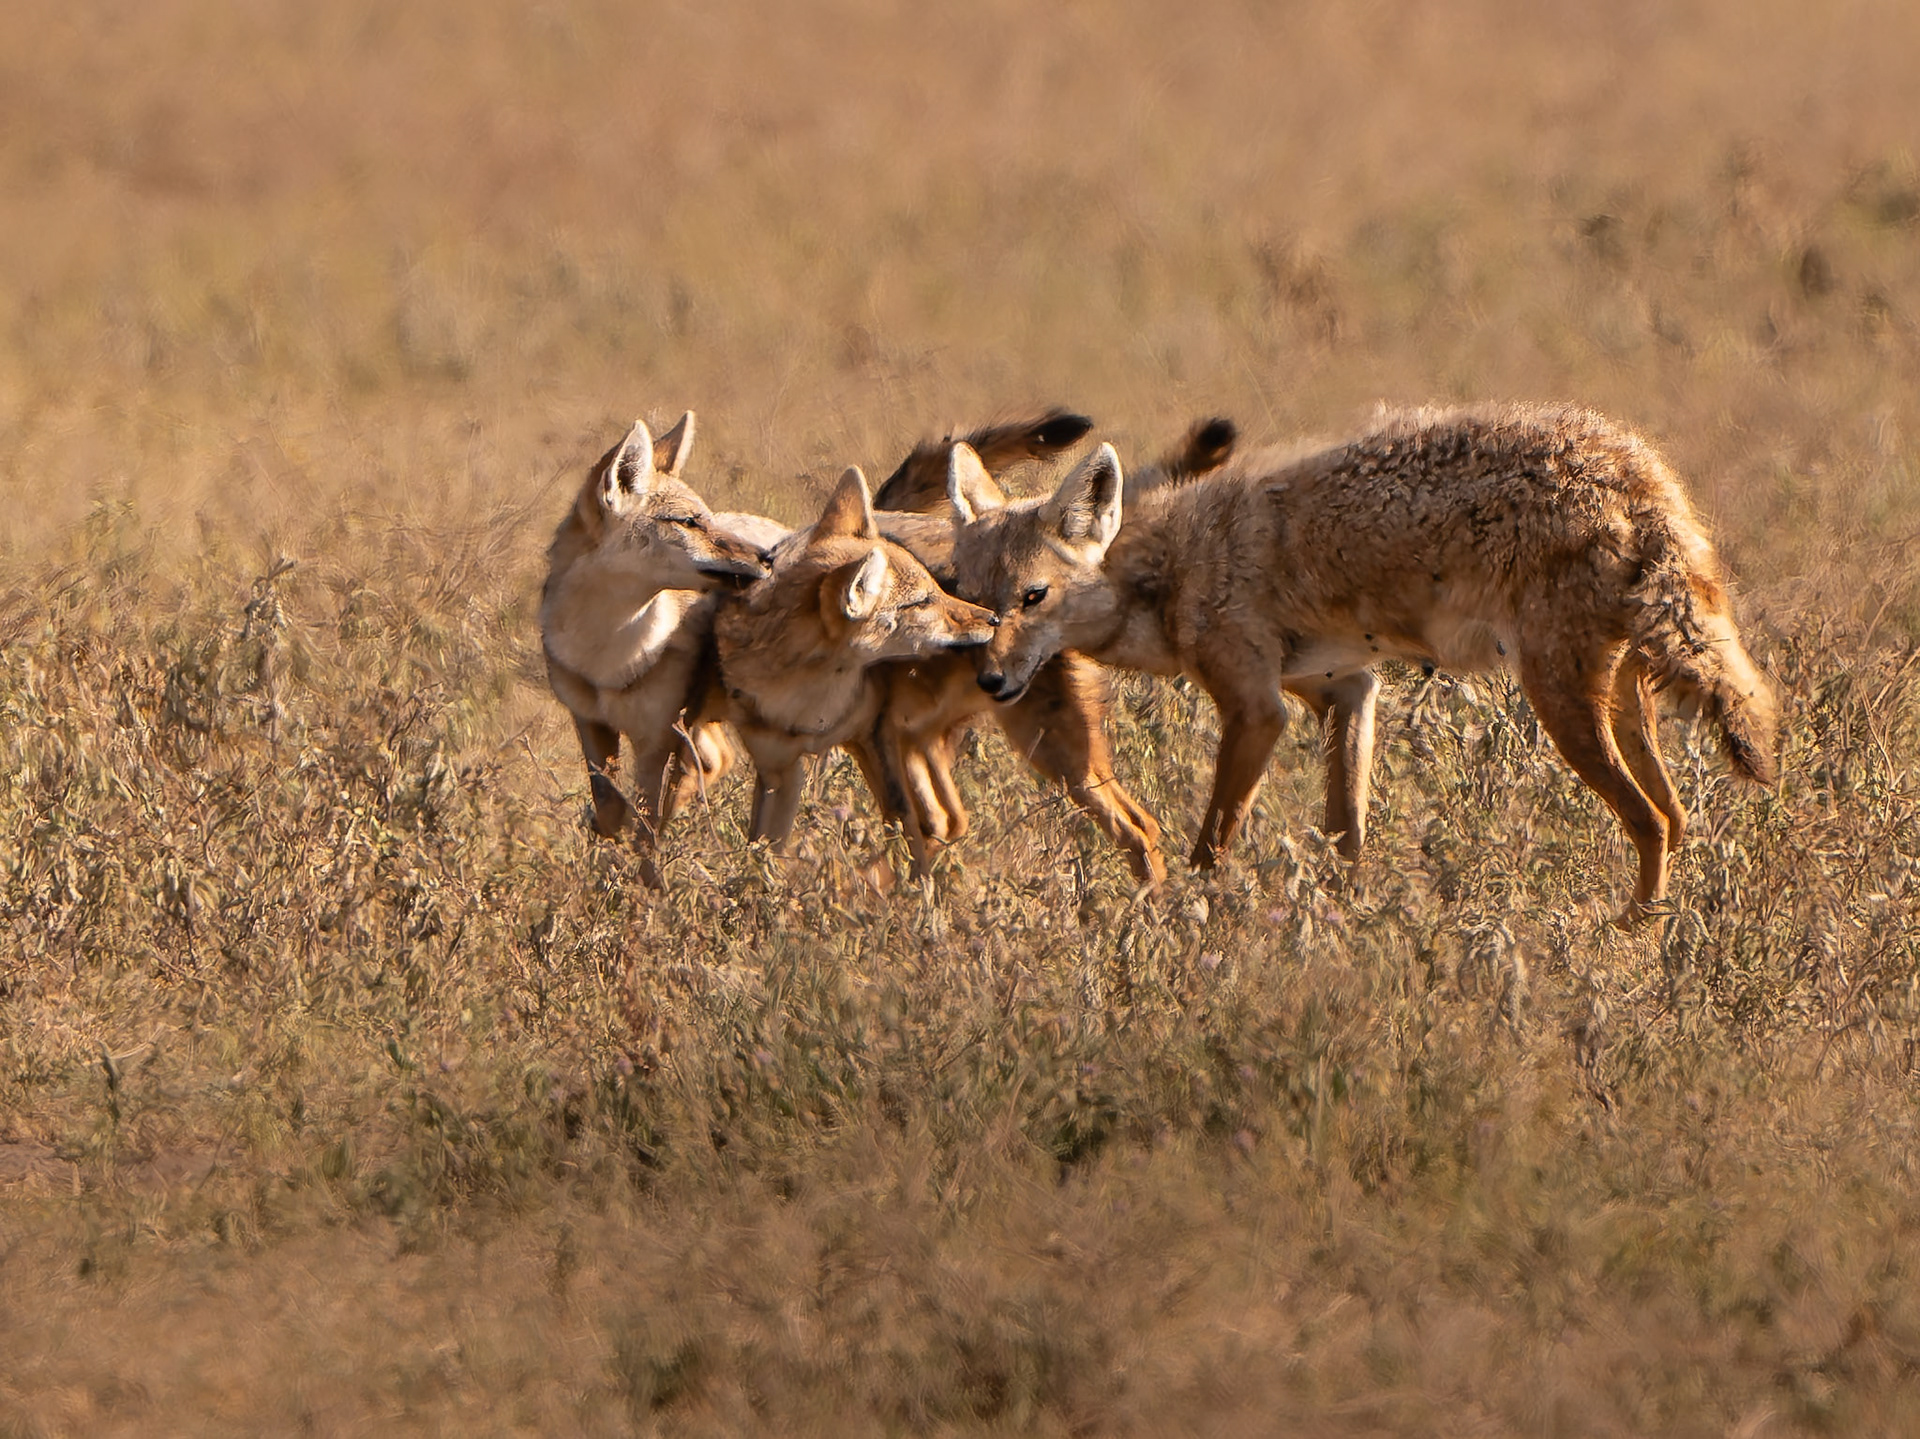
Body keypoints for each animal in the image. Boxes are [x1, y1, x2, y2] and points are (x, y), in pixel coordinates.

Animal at [540, 413, 771, 873]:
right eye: (688, 522)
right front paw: (608, 840)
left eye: (708, 519)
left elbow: (644, 829)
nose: (767, 557)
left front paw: (644, 883)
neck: (606, 654)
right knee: (713, 760)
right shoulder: (590, 724)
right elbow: (610, 806)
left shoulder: (654, 739)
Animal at [709, 466, 998, 850]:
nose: (994, 619)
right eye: (921, 601)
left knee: (945, 818)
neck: (809, 703)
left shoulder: (876, 736)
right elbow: (763, 848)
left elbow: (906, 828)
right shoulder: (779, 768)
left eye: (935, 590)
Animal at [956, 403, 1778, 916]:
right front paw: (1347, 932)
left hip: (1563, 704)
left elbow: (1209, 848)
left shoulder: (1257, 710)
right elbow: (1345, 839)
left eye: (1032, 597)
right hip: (1622, 701)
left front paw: (1194, 932)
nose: (987, 680)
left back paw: (1626, 944)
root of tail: (1638, 473)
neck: (1173, 558)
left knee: (1651, 822)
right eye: (962, 596)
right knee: (1675, 816)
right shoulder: (1345, 689)